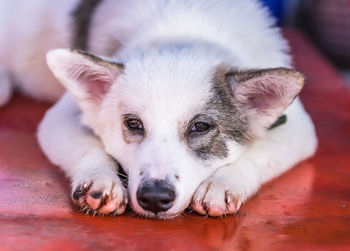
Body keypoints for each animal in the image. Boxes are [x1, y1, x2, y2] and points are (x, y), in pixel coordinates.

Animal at [0, 0, 318, 219]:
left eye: (200, 127)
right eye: (133, 123)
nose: (154, 197)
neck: (184, 32)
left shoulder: (297, 128)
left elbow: (260, 154)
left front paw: (223, 183)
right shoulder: (59, 117)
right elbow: (87, 147)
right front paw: (100, 177)